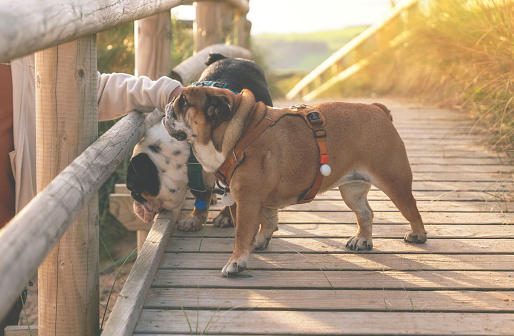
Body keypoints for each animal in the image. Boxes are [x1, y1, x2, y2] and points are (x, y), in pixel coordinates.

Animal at [125, 53, 272, 231]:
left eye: (136, 191)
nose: (135, 203)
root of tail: (232, 57)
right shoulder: (196, 180)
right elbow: (201, 198)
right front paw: (194, 218)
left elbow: (232, 199)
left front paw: (226, 217)